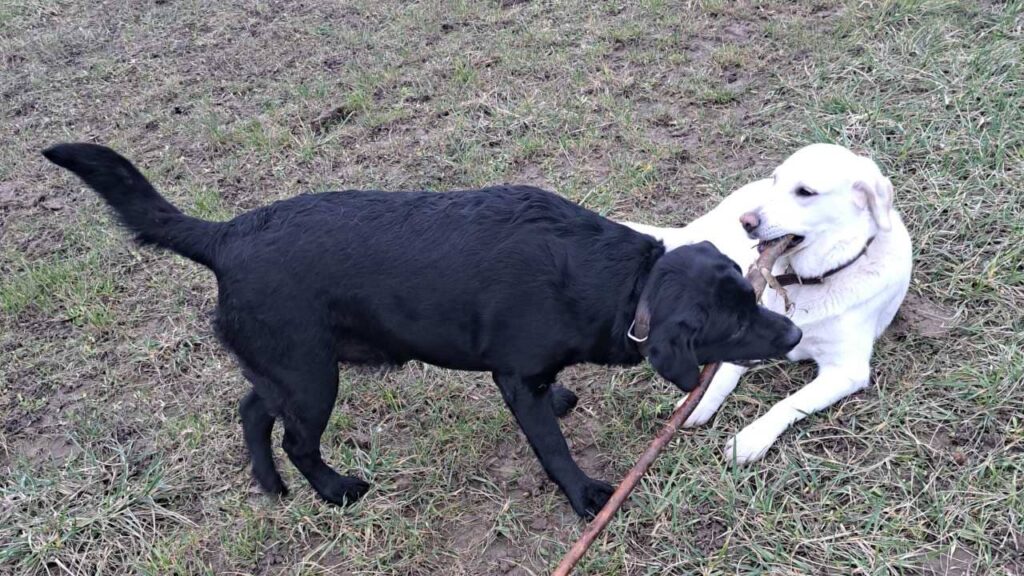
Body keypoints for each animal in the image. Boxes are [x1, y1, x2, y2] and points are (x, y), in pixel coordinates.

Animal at [46, 143, 798, 516]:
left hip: (290, 365)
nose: (792, 338)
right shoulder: (514, 375)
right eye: (735, 321)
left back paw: (270, 485)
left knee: (252, 411)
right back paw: (332, 491)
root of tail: (225, 236)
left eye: (750, 294)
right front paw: (586, 496)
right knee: (294, 437)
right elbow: (551, 447)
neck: (622, 281)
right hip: (313, 377)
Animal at [622, 143, 913, 461]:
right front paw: (701, 400)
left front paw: (751, 438)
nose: (746, 221)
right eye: (777, 180)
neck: (808, 279)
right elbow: (724, 372)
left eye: (805, 192)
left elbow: (789, 402)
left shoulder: (847, 369)